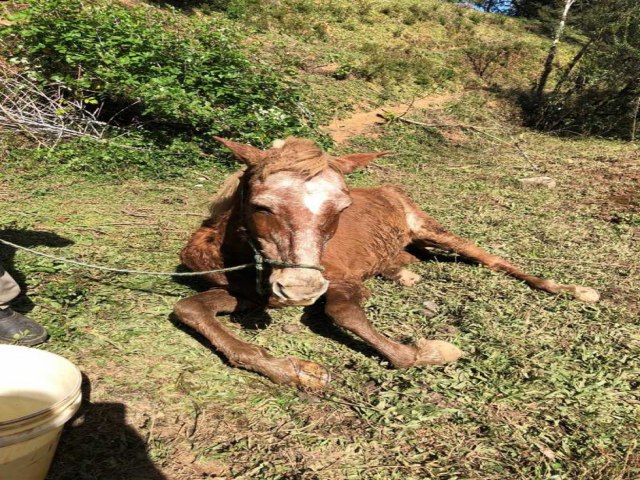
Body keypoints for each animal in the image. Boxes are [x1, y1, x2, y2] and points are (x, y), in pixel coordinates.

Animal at [172, 136, 596, 390]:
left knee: (491, 259)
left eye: (342, 208)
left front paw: (430, 351)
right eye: (261, 205)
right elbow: (189, 308)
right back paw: (402, 272)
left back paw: (572, 289)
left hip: (430, 228)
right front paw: (297, 371)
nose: (299, 290)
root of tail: (389, 189)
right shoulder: (248, 293)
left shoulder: (341, 279)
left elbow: (344, 313)